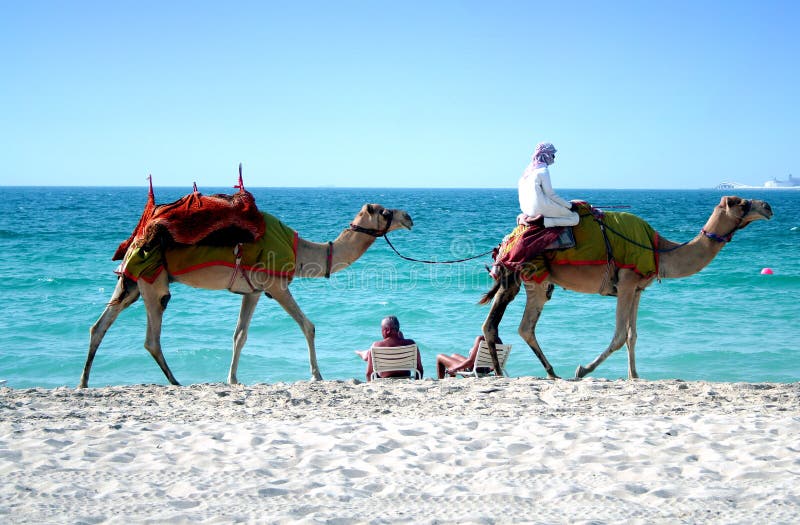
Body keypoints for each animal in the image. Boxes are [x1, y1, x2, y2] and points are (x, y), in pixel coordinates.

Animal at [77, 203, 412, 386]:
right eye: (385, 211)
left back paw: (83, 382)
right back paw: (174, 380)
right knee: (151, 337)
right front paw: (316, 375)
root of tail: (137, 239)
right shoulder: (276, 285)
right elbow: (308, 325)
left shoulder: (253, 291)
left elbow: (239, 335)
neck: (301, 252)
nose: (409, 217)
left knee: (99, 326)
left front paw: (233, 378)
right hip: (154, 283)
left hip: (132, 283)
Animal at [478, 194, 772, 378]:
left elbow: (632, 335)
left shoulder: (638, 289)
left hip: (537, 281)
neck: (658, 249)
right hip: (522, 275)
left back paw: (550, 372)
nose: (768, 206)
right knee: (495, 325)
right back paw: (503, 373)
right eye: (740, 202)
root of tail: (505, 241)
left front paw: (634, 375)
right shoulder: (627, 283)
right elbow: (620, 335)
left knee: (523, 327)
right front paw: (582, 370)